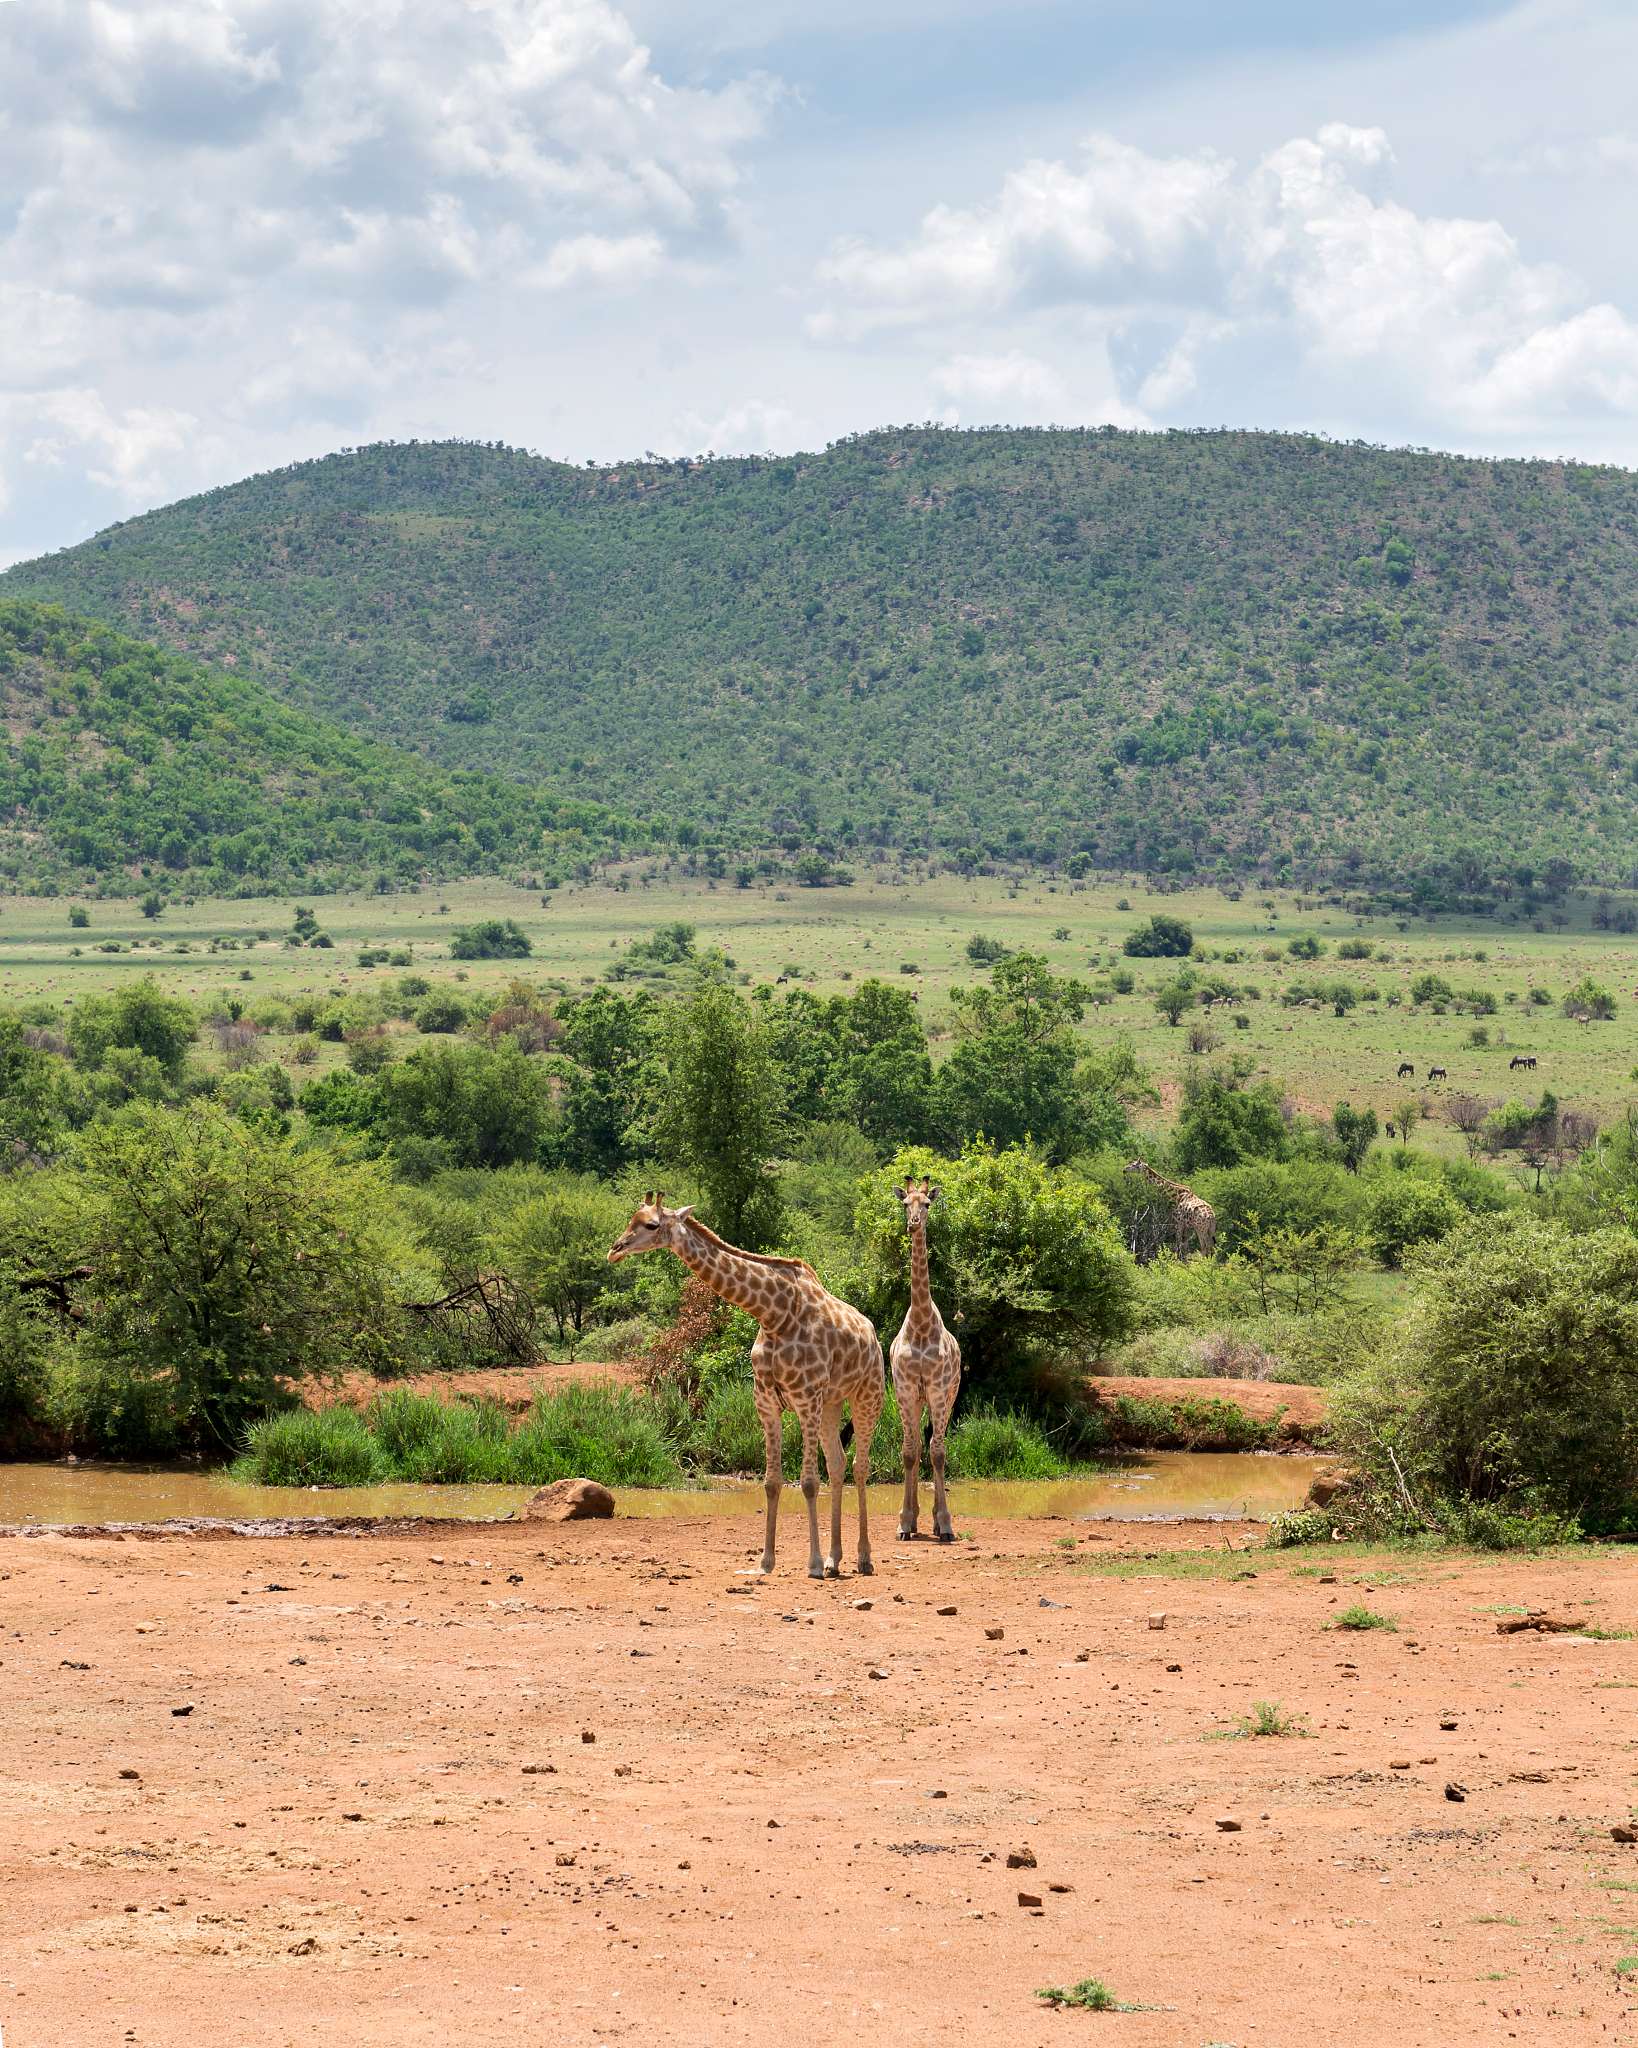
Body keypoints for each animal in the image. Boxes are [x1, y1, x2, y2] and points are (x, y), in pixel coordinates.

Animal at [608, 1194, 885, 1580]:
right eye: (630, 1219)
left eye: (651, 1225)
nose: (614, 1250)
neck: (773, 1314)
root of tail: (872, 1333)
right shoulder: (766, 1402)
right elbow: (771, 1481)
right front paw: (766, 1561)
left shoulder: (806, 1398)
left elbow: (807, 1482)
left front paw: (812, 1564)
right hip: (832, 1403)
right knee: (838, 1464)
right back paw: (835, 1560)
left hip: (867, 1395)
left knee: (860, 1465)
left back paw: (862, 1558)